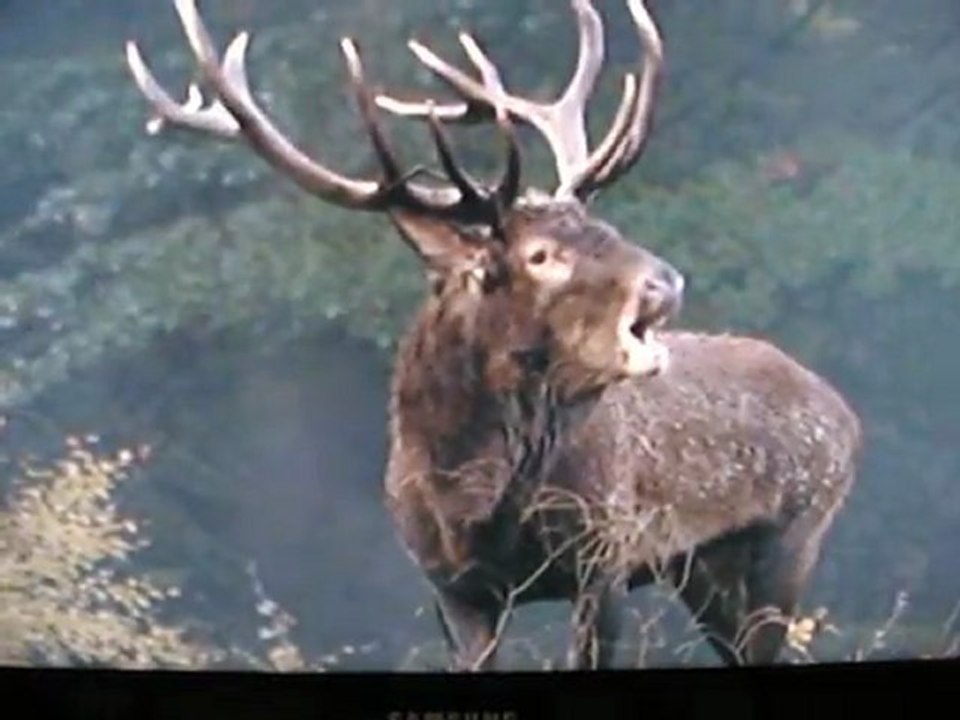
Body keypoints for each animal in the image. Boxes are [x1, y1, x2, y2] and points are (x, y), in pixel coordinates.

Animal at [125, 0, 862, 671]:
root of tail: (845, 413)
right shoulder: (452, 587)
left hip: (791, 536)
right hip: (703, 570)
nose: (665, 282)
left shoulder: (604, 554)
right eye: (540, 255)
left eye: (601, 225)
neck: (471, 493)